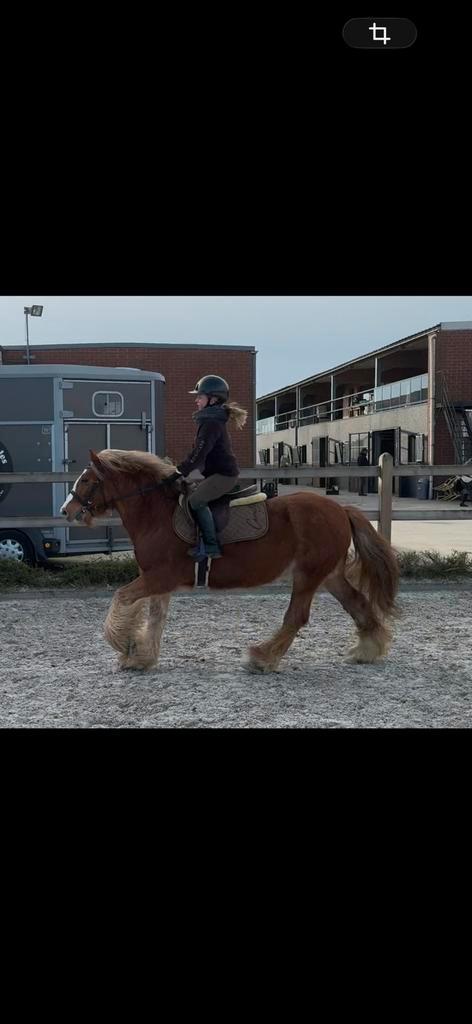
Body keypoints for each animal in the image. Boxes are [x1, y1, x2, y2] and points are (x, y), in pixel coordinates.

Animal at [60, 449, 400, 673]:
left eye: (87, 480)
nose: (66, 510)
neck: (156, 515)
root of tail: (341, 508)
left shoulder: (159, 577)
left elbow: (121, 597)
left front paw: (125, 645)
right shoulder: (158, 582)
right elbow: (156, 617)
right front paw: (141, 657)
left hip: (307, 575)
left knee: (296, 617)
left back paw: (262, 657)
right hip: (329, 575)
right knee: (357, 603)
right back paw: (367, 651)